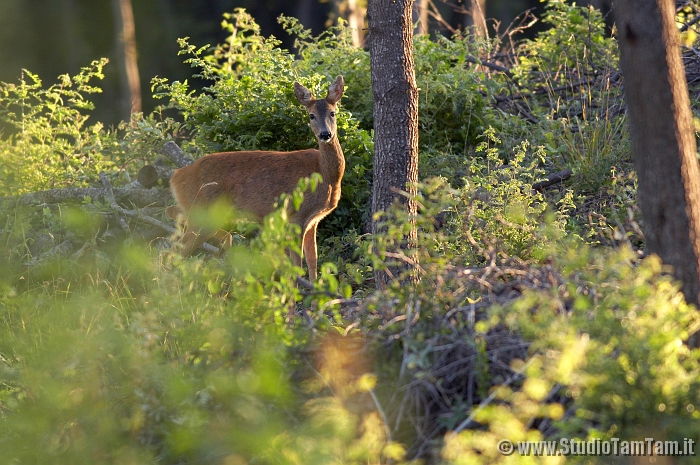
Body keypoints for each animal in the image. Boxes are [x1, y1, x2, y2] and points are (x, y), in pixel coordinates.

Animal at [167, 76, 348, 280]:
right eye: (311, 115)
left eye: (333, 113)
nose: (325, 134)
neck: (326, 175)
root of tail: (176, 176)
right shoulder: (296, 215)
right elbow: (296, 264)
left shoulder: (313, 220)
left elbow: (313, 261)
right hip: (202, 214)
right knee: (173, 252)